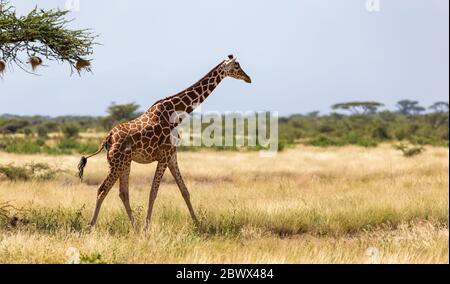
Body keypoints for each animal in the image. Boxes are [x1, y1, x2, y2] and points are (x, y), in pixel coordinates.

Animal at [78, 55, 251, 231]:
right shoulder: (164, 155)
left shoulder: (172, 155)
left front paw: (197, 224)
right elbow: (153, 192)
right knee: (102, 189)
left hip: (124, 162)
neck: (176, 114)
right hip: (117, 162)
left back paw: (134, 227)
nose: (248, 78)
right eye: (237, 66)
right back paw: (91, 226)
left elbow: (184, 190)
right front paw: (147, 227)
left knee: (123, 192)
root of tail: (108, 138)